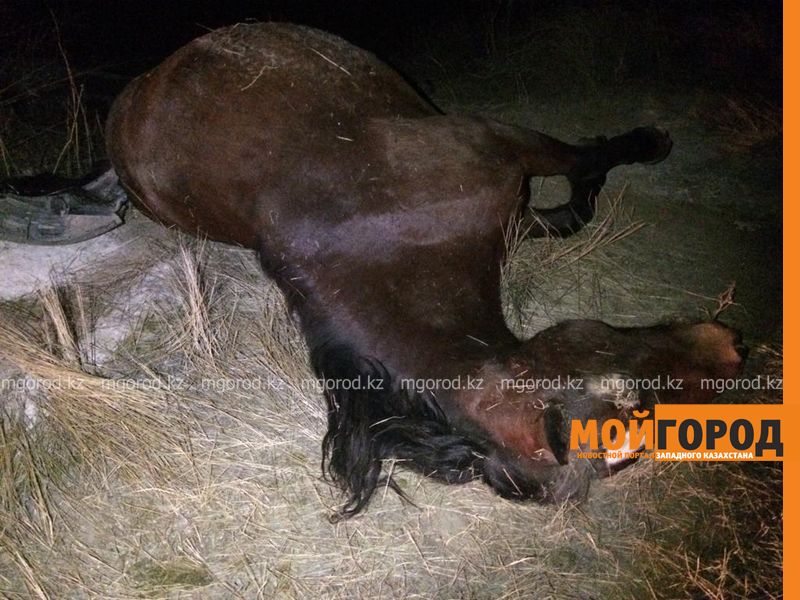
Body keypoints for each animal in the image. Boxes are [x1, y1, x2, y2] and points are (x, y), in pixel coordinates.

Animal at [104, 22, 745, 518]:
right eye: (630, 412)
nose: (732, 350)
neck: (383, 239)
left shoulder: (508, 176)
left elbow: (574, 194)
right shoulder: (496, 146)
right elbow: (582, 169)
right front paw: (644, 143)